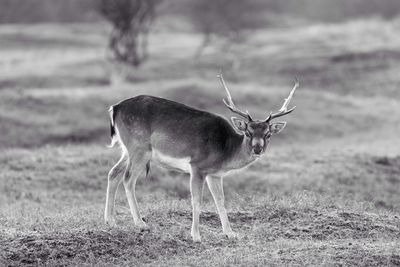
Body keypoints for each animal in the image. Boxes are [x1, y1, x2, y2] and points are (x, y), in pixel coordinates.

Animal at [104, 75, 298, 243]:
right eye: (248, 132)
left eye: (268, 134)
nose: (257, 148)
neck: (225, 151)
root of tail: (115, 108)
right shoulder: (197, 166)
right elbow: (196, 201)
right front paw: (196, 235)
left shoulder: (215, 174)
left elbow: (220, 201)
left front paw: (230, 233)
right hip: (140, 148)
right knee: (128, 179)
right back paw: (140, 224)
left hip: (128, 150)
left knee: (113, 173)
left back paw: (110, 221)